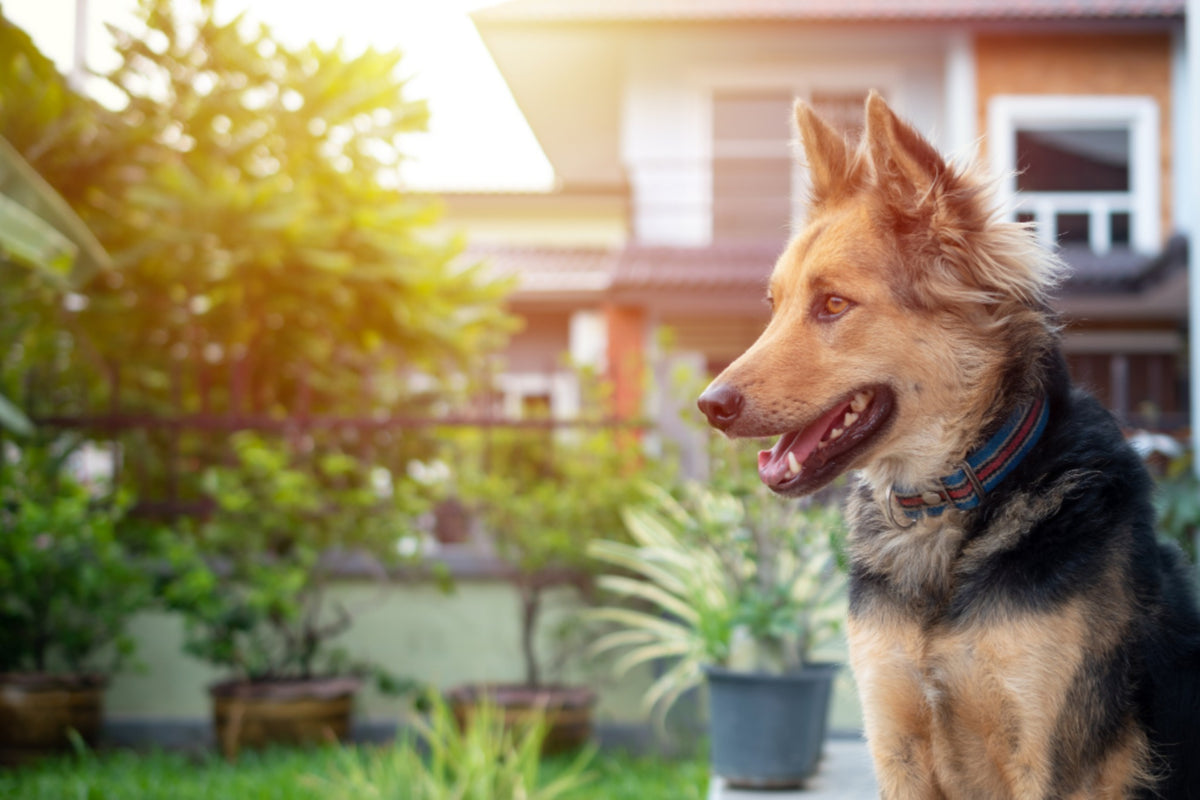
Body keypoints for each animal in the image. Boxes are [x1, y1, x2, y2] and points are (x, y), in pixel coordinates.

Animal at [696, 92, 1200, 796]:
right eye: (775, 305)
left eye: (833, 304)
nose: (709, 406)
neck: (943, 504)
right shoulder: (895, 739)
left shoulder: (1050, 757)